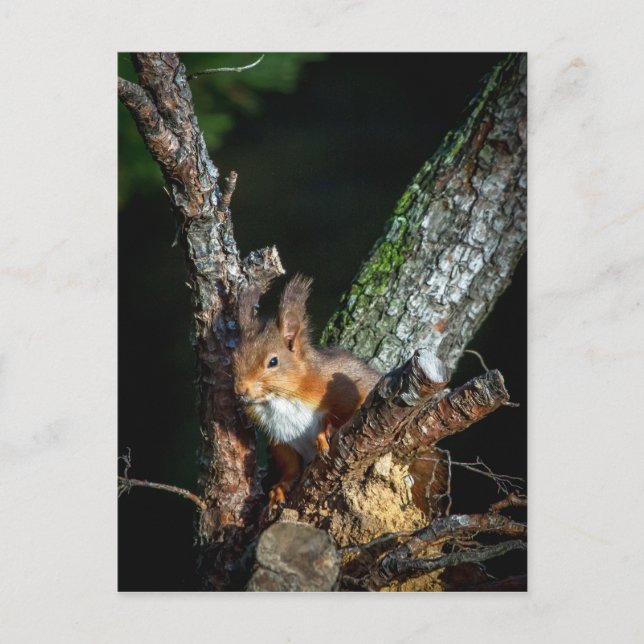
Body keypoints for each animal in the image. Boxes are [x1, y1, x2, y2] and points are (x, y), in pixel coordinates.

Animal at [233, 274, 446, 512]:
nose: (240, 390)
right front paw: (281, 487)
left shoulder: (347, 386)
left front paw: (325, 432)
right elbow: (289, 465)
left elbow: (346, 410)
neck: (281, 398)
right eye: (234, 357)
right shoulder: (280, 437)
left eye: (273, 361)